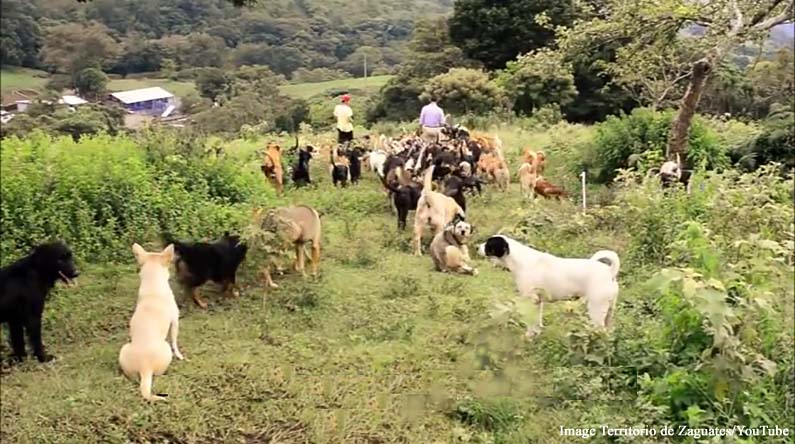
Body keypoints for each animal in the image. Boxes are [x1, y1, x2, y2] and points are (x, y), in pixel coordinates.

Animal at [119, 243, 184, 402]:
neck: (153, 283)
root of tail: (145, 368)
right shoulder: (175, 321)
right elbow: (175, 342)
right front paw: (179, 355)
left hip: (124, 350)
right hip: (165, 349)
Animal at [478, 234, 620, 334]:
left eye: (488, 244)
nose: (476, 247)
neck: (519, 260)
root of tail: (609, 272)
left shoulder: (530, 300)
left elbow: (531, 322)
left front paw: (529, 336)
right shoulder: (538, 301)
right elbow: (537, 320)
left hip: (597, 308)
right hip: (609, 310)